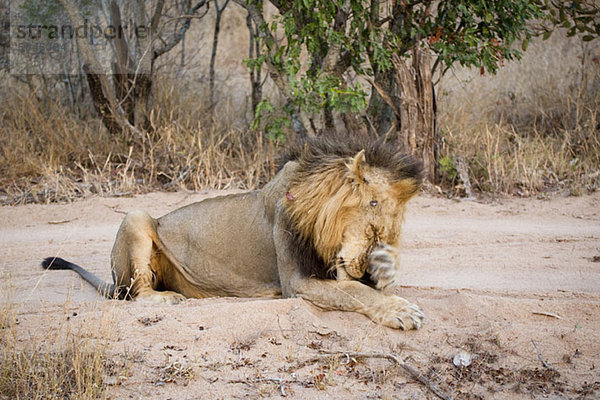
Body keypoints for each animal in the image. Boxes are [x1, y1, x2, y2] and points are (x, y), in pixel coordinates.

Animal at [41, 136, 426, 330]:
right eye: (373, 220)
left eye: (389, 235)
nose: (363, 268)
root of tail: (113, 279)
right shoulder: (296, 281)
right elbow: (353, 292)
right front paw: (401, 311)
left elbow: (359, 287)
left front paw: (386, 270)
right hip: (136, 216)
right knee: (136, 294)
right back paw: (167, 298)